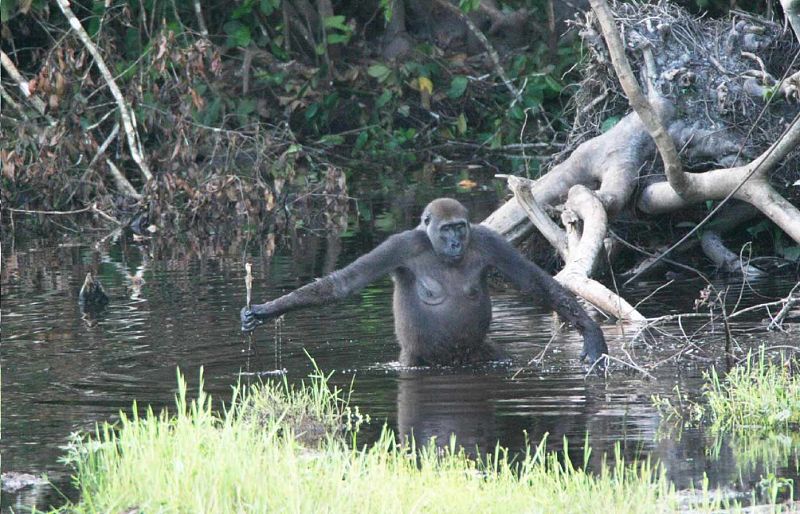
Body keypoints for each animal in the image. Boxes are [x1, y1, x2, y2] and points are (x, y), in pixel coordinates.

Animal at [242, 198, 608, 366]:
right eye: (446, 229)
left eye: (460, 227)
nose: (456, 242)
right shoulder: (399, 245)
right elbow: (342, 283)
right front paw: (267, 310)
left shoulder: (488, 240)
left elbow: (535, 282)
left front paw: (592, 334)